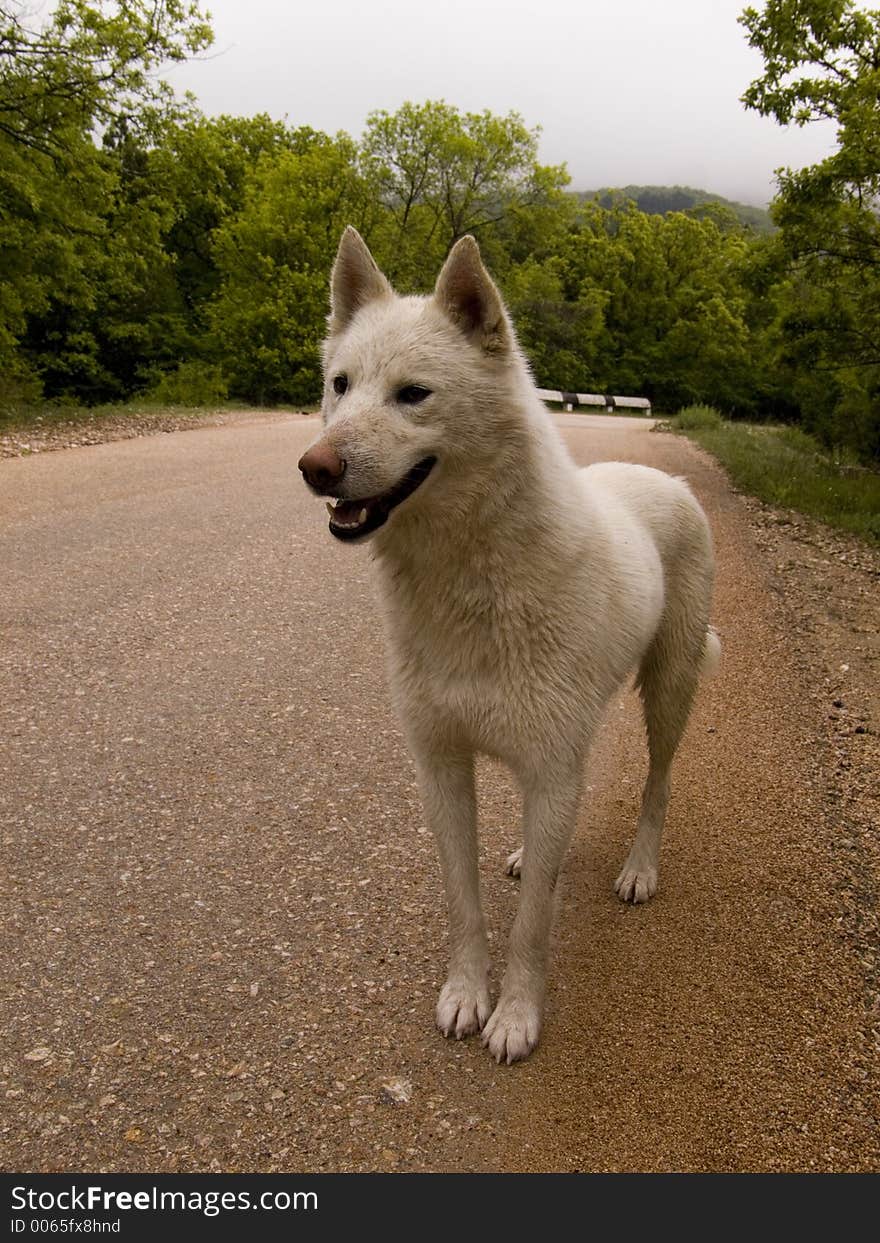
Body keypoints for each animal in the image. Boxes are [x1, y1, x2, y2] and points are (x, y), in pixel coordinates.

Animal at [299, 228, 720, 1064]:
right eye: (341, 385)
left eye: (413, 394)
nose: (314, 468)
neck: (469, 578)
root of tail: (669, 476)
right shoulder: (442, 768)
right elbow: (467, 906)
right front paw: (467, 994)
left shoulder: (552, 767)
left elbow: (530, 929)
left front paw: (517, 1016)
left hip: (669, 693)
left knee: (656, 787)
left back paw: (639, 868)